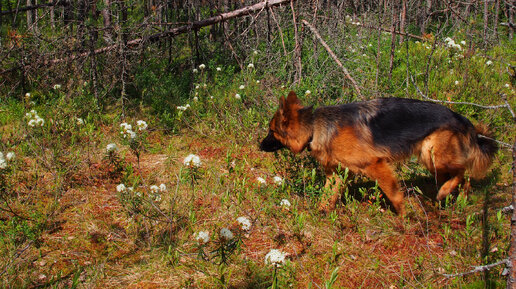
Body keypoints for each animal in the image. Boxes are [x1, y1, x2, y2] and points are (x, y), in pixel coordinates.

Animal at [260, 91, 498, 215]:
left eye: (271, 131)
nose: (259, 145)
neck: (314, 127)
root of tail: (462, 119)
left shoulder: (376, 165)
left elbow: (394, 194)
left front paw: (404, 217)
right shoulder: (336, 175)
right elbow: (327, 196)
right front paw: (319, 214)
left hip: (432, 155)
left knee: (463, 171)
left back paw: (447, 192)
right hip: (432, 160)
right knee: (462, 177)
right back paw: (456, 198)